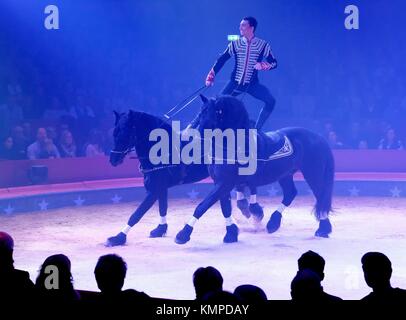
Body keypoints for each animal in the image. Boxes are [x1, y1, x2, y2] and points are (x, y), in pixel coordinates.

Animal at [176, 95, 334, 245]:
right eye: (201, 111)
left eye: (216, 112)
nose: (196, 135)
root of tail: (319, 137)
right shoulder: (220, 182)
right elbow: (225, 208)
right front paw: (231, 234)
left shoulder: (225, 183)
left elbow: (202, 206)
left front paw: (183, 235)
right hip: (285, 174)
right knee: (291, 193)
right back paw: (273, 223)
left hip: (313, 173)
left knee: (320, 196)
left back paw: (323, 229)